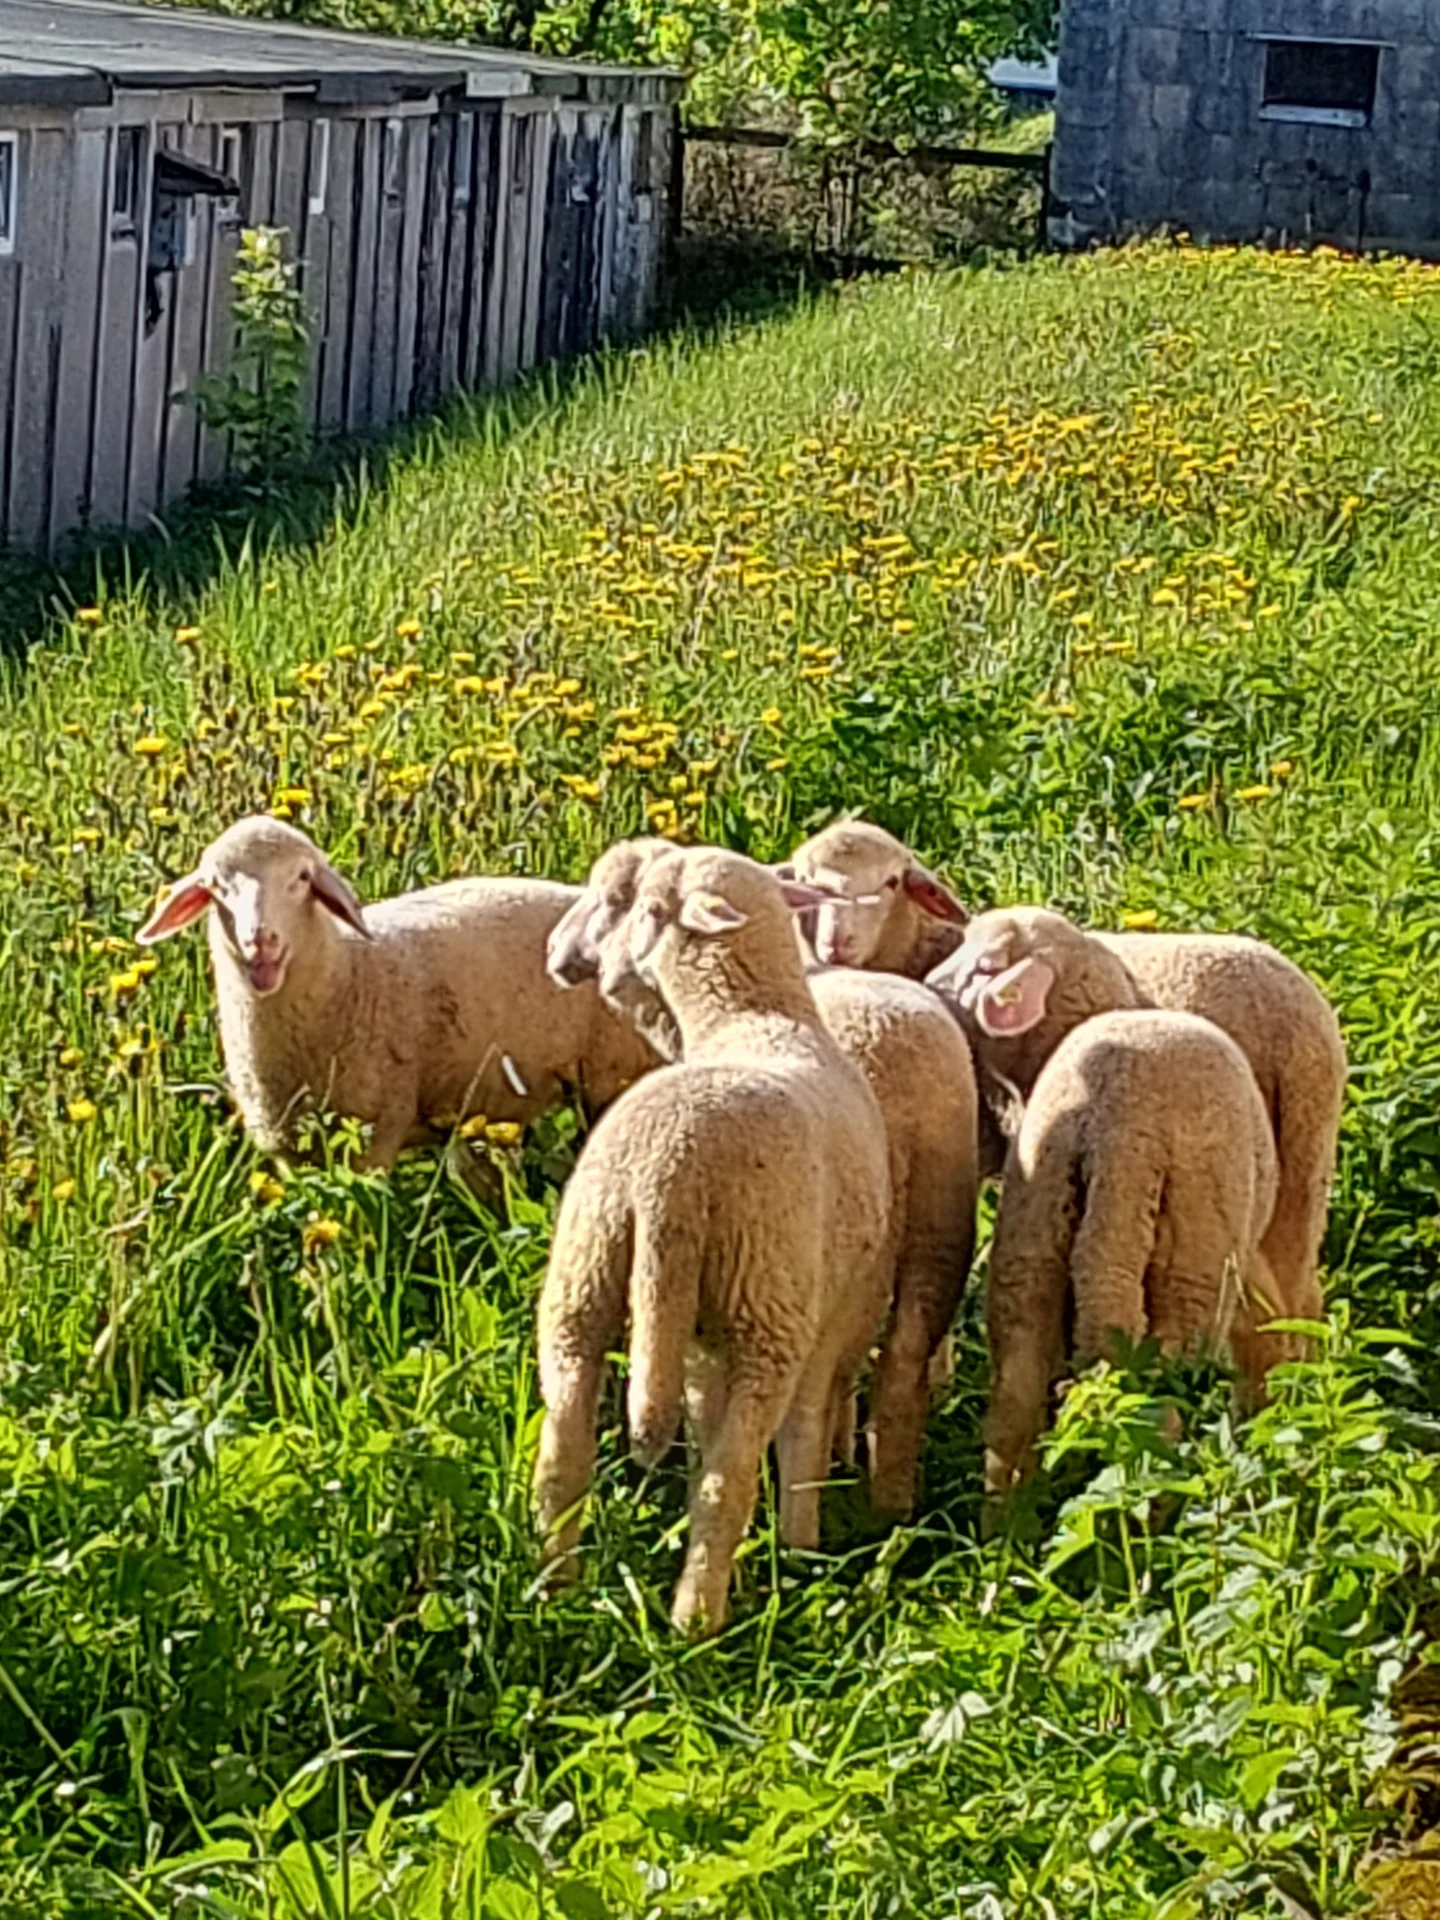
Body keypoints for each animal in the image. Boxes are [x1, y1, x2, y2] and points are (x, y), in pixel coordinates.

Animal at [136, 815, 656, 1189]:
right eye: (215, 886)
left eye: (301, 878)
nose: (259, 941)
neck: (347, 971)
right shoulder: (290, 1151)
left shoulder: (376, 1135)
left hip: (615, 1071)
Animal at [533, 847, 893, 1634]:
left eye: (617, 900)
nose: (553, 953)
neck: (759, 1017)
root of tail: (667, 1171)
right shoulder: (822, 1312)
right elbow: (803, 1429)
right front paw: (802, 1545)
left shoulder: (696, 1334)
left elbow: (702, 1424)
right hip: (767, 1311)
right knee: (731, 1482)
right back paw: (696, 1619)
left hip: (584, 1279)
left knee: (561, 1457)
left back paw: (550, 1590)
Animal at [980, 1000, 1278, 1507]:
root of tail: (1112, 1122)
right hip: (1193, 1270)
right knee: (1161, 1414)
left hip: (1029, 1243)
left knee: (1014, 1402)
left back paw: (1008, 1524)